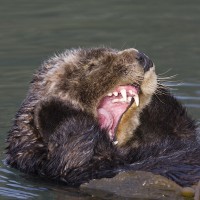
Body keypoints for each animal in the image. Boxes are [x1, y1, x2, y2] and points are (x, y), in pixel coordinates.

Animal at [5, 47, 200, 187]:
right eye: (91, 66)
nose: (142, 57)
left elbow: (182, 127)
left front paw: (158, 96)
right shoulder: (76, 170)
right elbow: (71, 157)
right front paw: (53, 109)